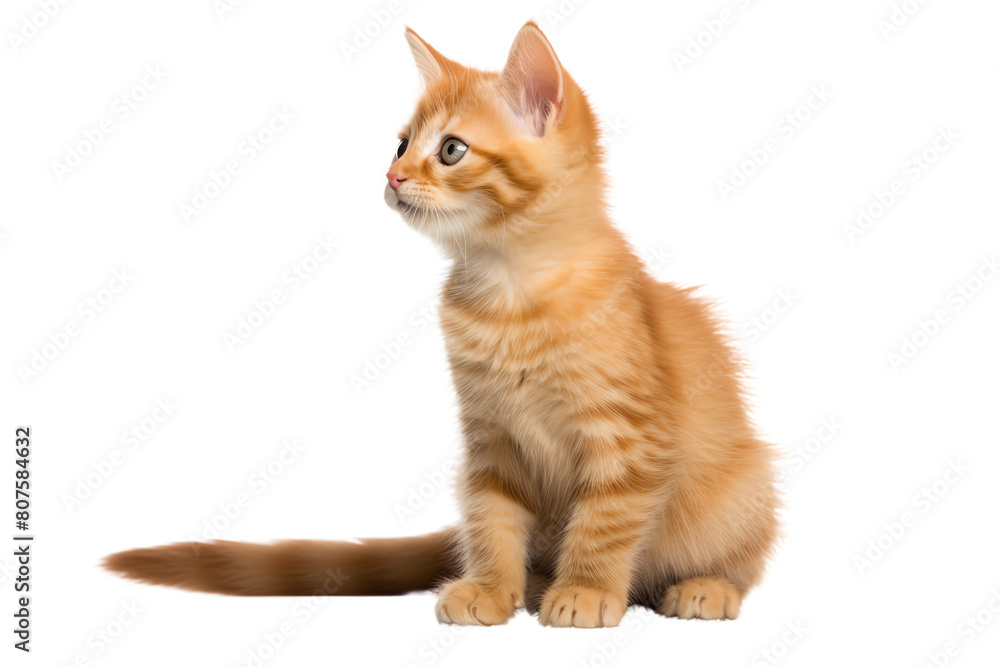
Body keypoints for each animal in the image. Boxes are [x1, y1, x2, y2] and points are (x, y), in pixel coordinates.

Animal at [109, 19, 780, 628]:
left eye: (451, 149)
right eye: (400, 144)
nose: (392, 177)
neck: (510, 295)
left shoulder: (628, 438)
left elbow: (604, 523)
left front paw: (587, 590)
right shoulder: (490, 439)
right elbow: (490, 518)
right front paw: (490, 587)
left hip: (745, 484)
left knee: (740, 563)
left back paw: (703, 587)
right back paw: (536, 581)